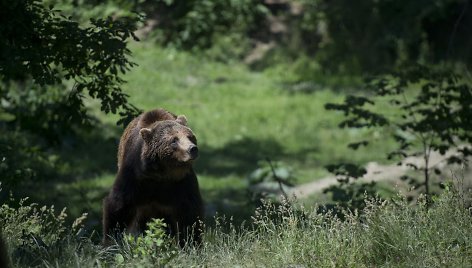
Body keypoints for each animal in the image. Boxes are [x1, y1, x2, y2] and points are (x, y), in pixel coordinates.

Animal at [102, 108, 204, 246]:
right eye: (174, 140)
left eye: (190, 136)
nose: (192, 149)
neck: (161, 173)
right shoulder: (135, 176)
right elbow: (118, 204)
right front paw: (111, 240)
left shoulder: (181, 182)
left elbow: (190, 212)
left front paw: (191, 242)